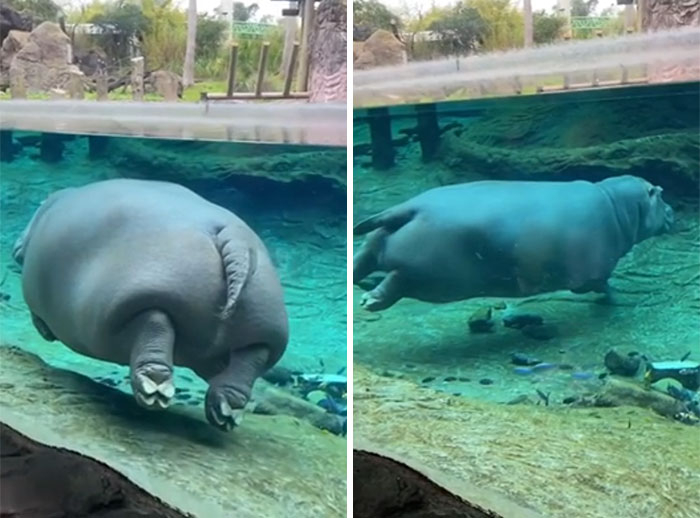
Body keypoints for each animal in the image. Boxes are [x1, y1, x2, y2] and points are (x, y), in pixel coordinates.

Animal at [13, 179, 289, 431]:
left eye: (39, 206)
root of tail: (233, 236)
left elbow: (38, 319)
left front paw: (46, 333)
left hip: (144, 297)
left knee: (155, 326)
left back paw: (153, 391)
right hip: (265, 324)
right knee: (250, 360)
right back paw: (226, 413)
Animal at [353, 175, 674, 311]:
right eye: (659, 191)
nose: (673, 210)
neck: (618, 206)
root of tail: (412, 208)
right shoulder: (593, 272)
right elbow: (602, 286)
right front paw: (616, 299)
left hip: (381, 242)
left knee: (364, 258)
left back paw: (363, 286)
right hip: (428, 273)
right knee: (395, 281)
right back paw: (370, 301)